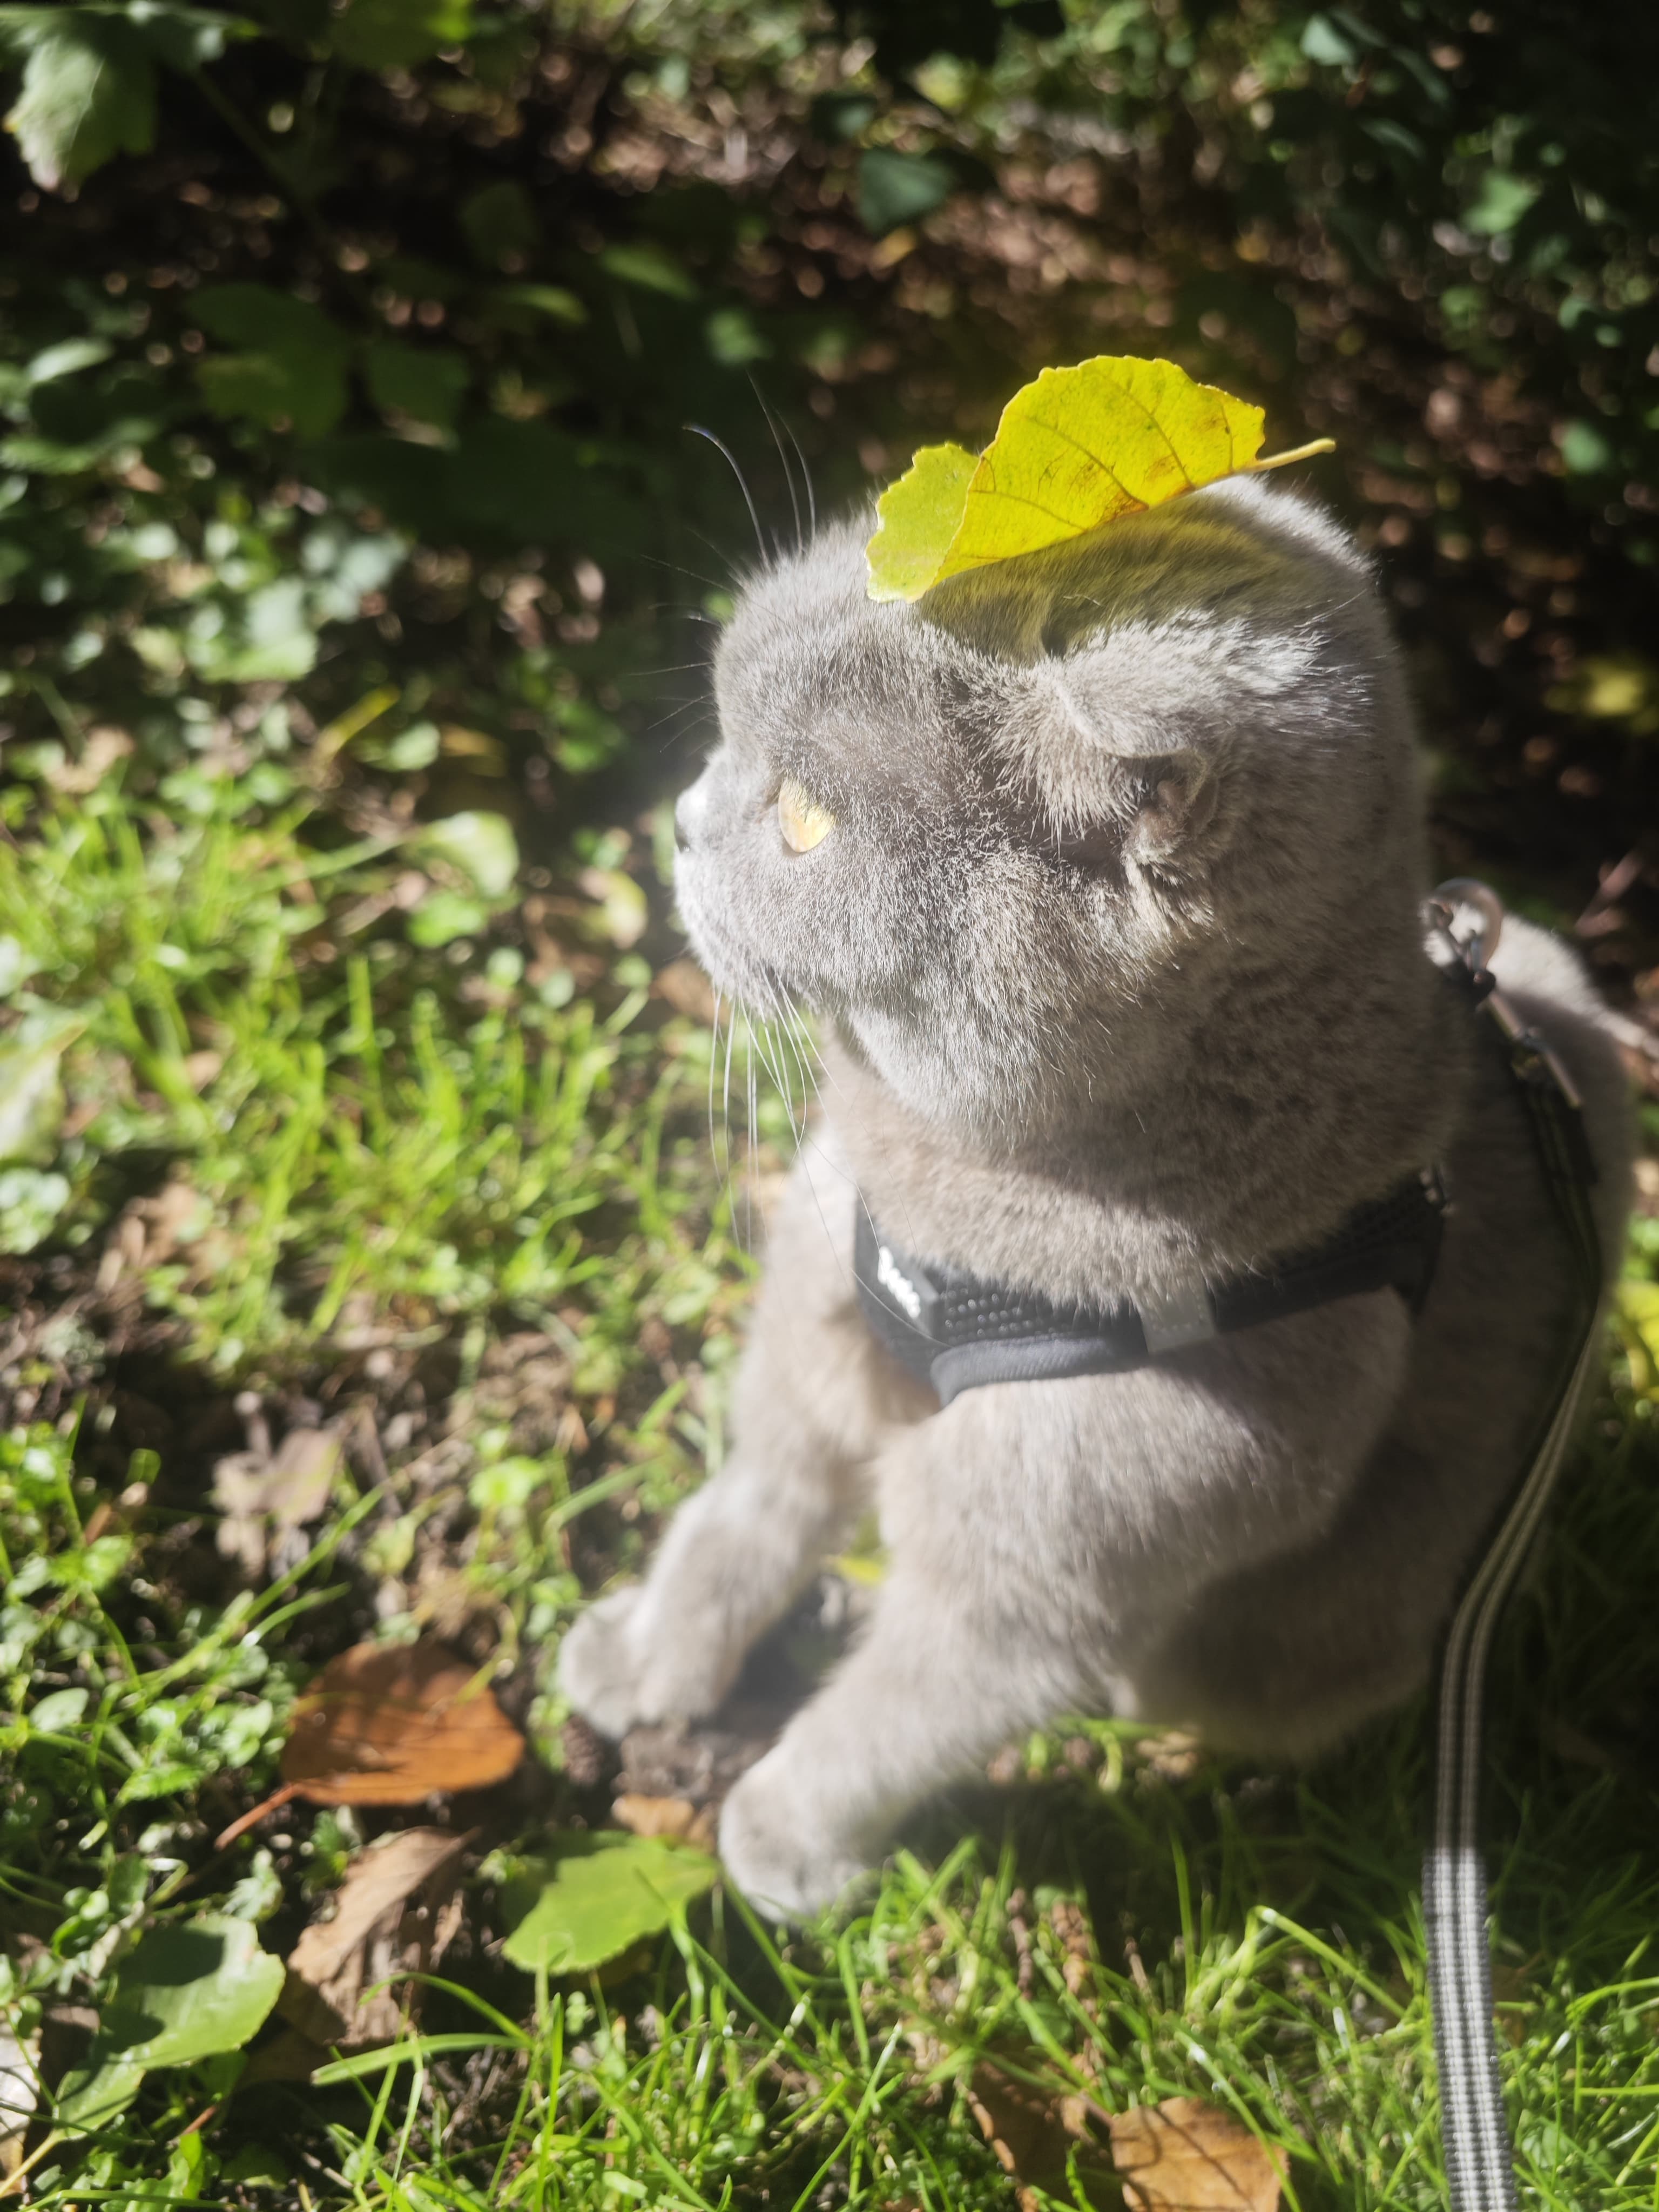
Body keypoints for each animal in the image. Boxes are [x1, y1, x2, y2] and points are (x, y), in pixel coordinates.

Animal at [559, 471, 1637, 1920]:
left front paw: (777, 1840)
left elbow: (889, 1721)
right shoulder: (807, 1351)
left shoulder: (1039, 1575)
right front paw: (640, 1662)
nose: (677, 814)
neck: (950, 1227)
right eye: (729, 736)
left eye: (805, 818)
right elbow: (738, 1521)